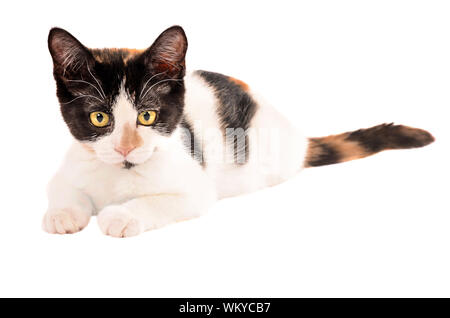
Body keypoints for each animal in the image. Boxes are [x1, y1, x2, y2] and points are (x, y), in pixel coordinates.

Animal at [44, 26, 434, 237]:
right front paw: (64, 214)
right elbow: (64, 189)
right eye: (99, 118)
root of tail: (296, 136)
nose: (125, 148)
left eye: (147, 116)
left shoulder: (196, 187)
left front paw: (121, 215)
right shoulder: (72, 164)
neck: (121, 172)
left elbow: (159, 201)